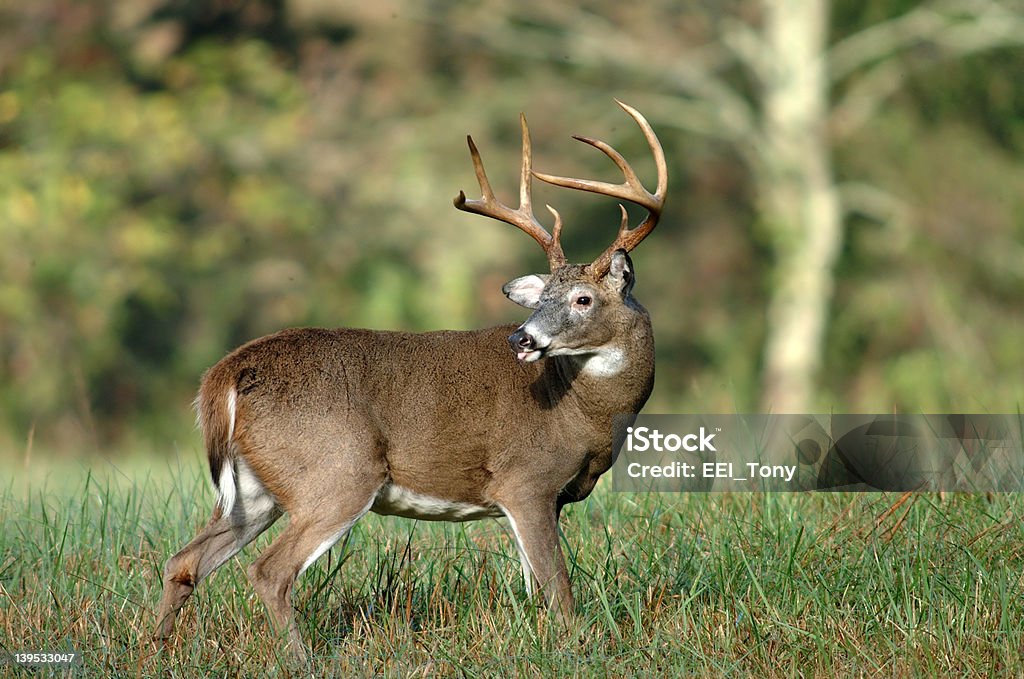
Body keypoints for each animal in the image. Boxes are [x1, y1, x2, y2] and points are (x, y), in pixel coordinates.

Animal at [149, 99, 663, 659]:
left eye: (581, 299)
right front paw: (576, 650)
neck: (582, 413)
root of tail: (225, 375)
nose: (522, 338)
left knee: (183, 562)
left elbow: (536, 589)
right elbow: (559, 591)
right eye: (543, 298)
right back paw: (303, 660)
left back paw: (154, 649)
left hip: (257, 489)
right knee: (269, 572)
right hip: (337, 471)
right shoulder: (525, 480)